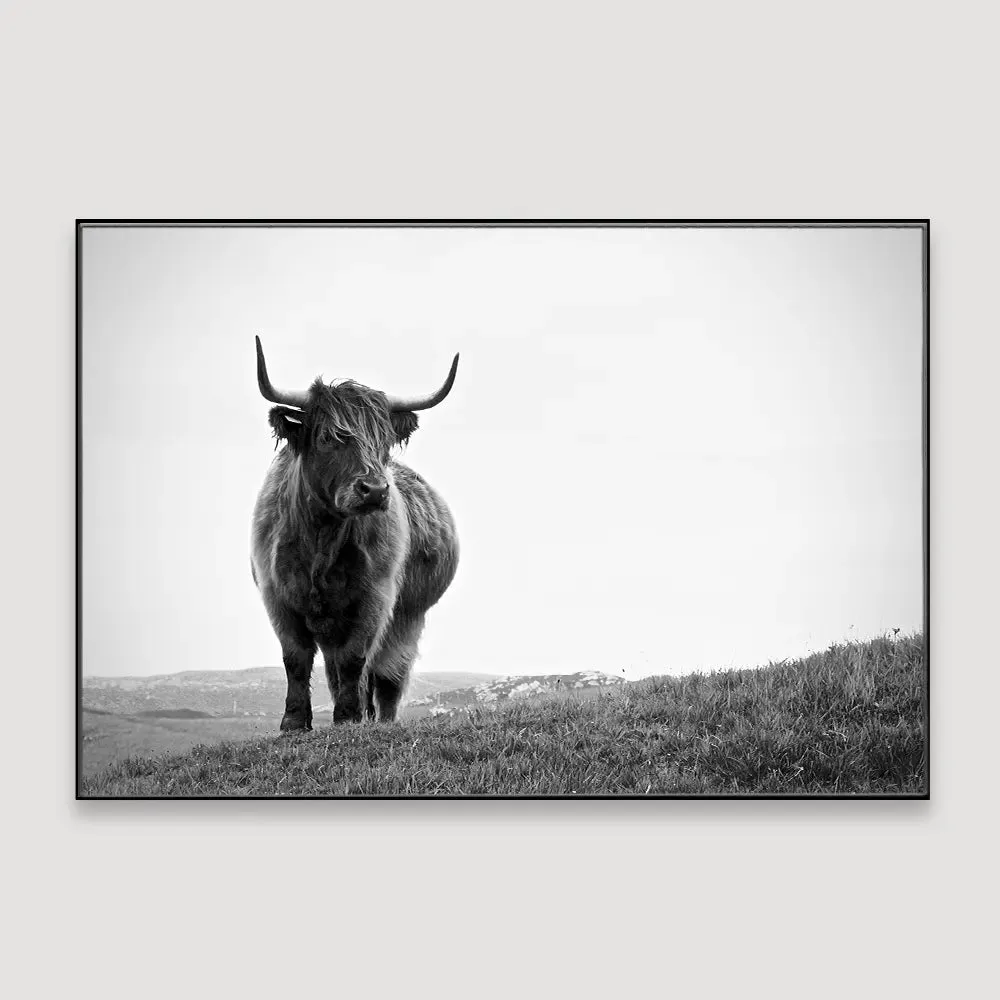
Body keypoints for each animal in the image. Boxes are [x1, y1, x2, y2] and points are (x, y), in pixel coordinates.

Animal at [250, 336, 460, 730]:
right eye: (328, 438)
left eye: (383, 441)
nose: (374, 490)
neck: (321, 539)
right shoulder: (277, 597)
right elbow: (295, 659)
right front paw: (294, 722)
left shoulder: (374, 598)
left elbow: (355, 659)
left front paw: (348, 718)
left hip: (408, 618)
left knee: (388, 676)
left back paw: (379, 720)